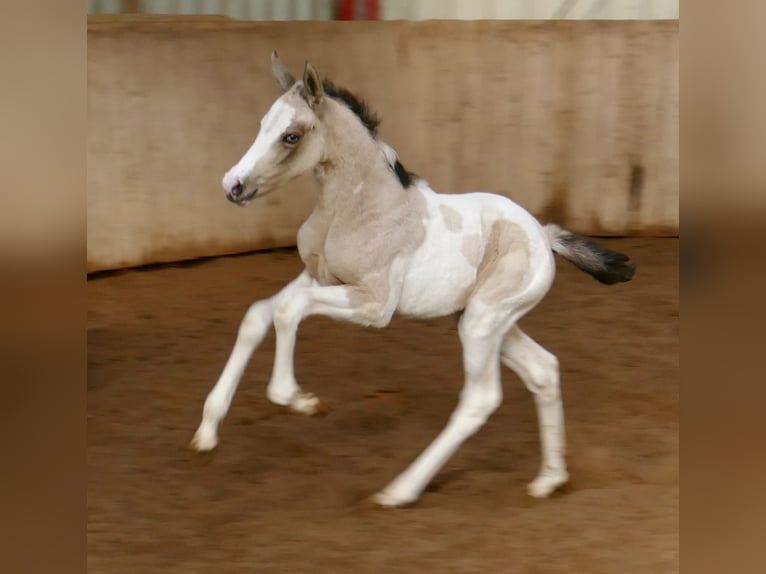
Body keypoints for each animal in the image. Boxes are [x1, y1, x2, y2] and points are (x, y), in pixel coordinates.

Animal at [191, 52, 635, 508]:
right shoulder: (317, 278)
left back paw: (400, 490)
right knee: (544, 369)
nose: (233, 185)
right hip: (486, 320)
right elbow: (258, 315)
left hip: (483, 322)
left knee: (480, 399)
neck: (356, 209)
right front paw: (206, 435)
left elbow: (287, 311)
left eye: (291, 136)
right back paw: (549, 480)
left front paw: (299, 399)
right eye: (263, 123)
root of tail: (543, 235)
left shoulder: (373, 305)